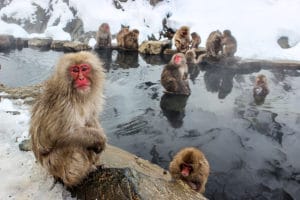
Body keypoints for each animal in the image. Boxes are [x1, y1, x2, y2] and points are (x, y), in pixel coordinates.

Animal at [29, 50, 107, 187]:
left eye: (84, 69)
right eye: (75, 70)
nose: (81, 78)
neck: (76, 94)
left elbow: (91, 119)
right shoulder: (64, 104)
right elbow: (65, 133)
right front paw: (100, 139)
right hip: (55, 163)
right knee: (73, 144)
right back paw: (81, 175)